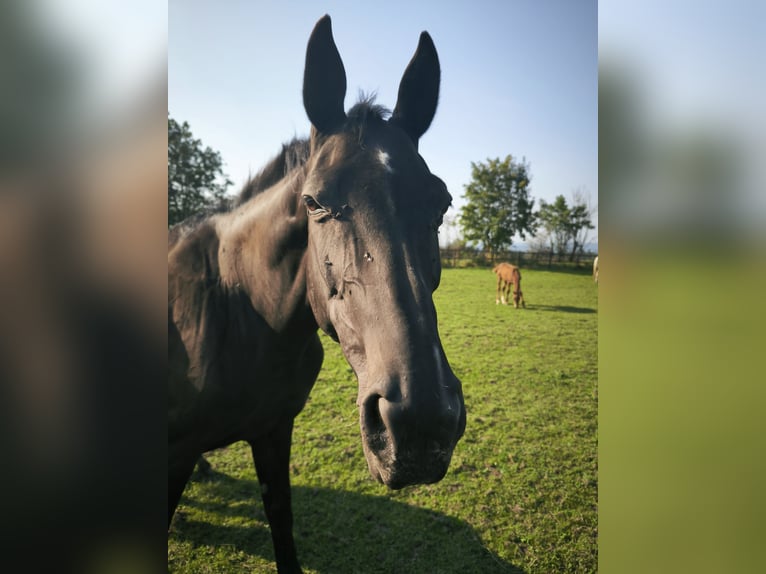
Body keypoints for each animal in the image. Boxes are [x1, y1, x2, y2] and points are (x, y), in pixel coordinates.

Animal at [169, 15, 468, 572]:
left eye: (441, 202)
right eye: (313, 202)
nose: (419, 424)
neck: (241, 309)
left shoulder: (273, 429)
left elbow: (281, 520)